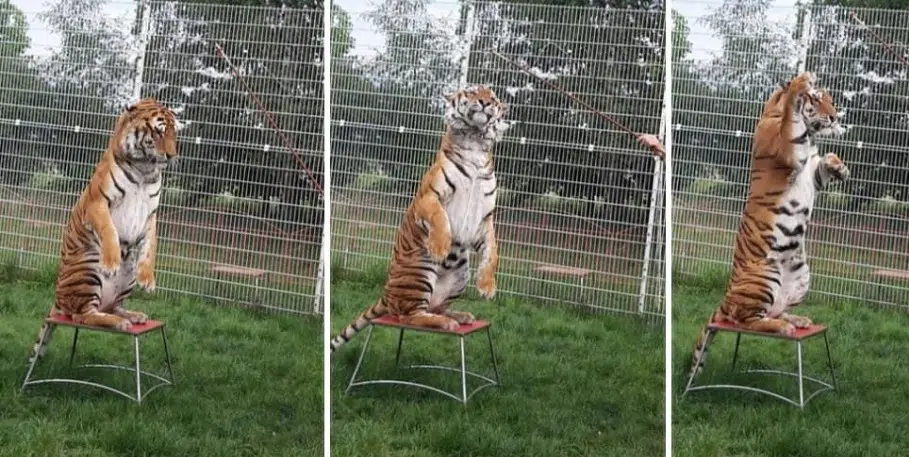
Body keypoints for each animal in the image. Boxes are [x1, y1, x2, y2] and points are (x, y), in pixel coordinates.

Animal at [27, 98, 177, 364]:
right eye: (158, 131)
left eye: (173, 132)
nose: (172, 155)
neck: (145, 170)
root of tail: (57, 297)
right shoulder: (98, 203)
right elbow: (109, 231)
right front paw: (111, 262)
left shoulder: (151, 216)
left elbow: (151, 247)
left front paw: (148, 280)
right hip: (87, 271)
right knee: (82, 315)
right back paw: (119, 323)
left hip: (126, 277)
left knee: (110, 306)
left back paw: (132, 316)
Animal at [330, 85, 508, 353]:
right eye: (472, 91)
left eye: (493, 97)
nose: (485, 103)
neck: (475, 142)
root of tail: (386, 294)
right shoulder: (429, 197)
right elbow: (440, 218)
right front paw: (439, 247)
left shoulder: (485, 218)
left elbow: (492, 252)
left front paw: (487, 286)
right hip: (419, 274)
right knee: (408, 316)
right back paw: (446, 323)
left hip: (460, 276)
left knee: (436, 307)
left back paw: (459, 316)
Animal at [688, 72, 849, 377]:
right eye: (816, 100)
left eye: (831, 100)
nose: (834, 117)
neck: (810, 137)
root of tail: (725, 299)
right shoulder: (787, 149)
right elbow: (791, 121)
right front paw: (800, 82)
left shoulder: (813, 173)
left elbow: (823, 164)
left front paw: (839, 166)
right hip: (763, 277)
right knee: (744, 320)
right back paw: (783, 327)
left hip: (801, 275)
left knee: (773, 310)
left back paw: (795, 319)